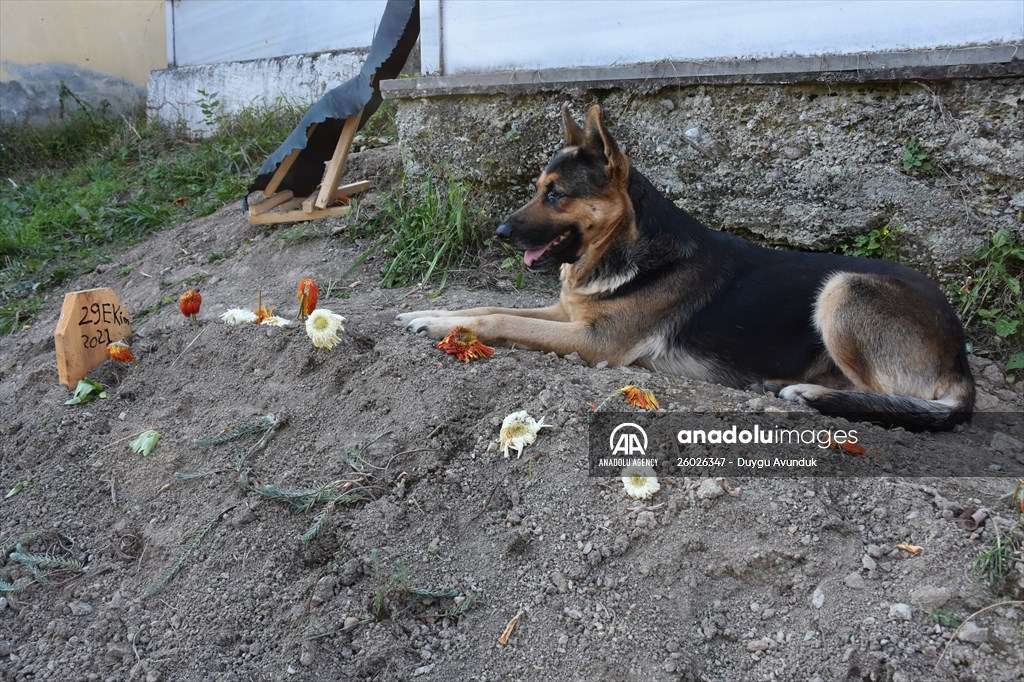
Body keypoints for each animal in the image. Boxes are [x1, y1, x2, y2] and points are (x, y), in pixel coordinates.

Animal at [393, 103, 974, 428]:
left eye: (555, 195)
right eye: (538, 189)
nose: (499, 233)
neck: (625, 248)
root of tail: (960, 355)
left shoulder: (593, 342)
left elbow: (499, 318)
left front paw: (441, 325)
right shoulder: (569, 315)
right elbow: (486, 306)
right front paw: (432, 314)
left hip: (843, 289)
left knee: (889, 397)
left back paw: (808, 393)